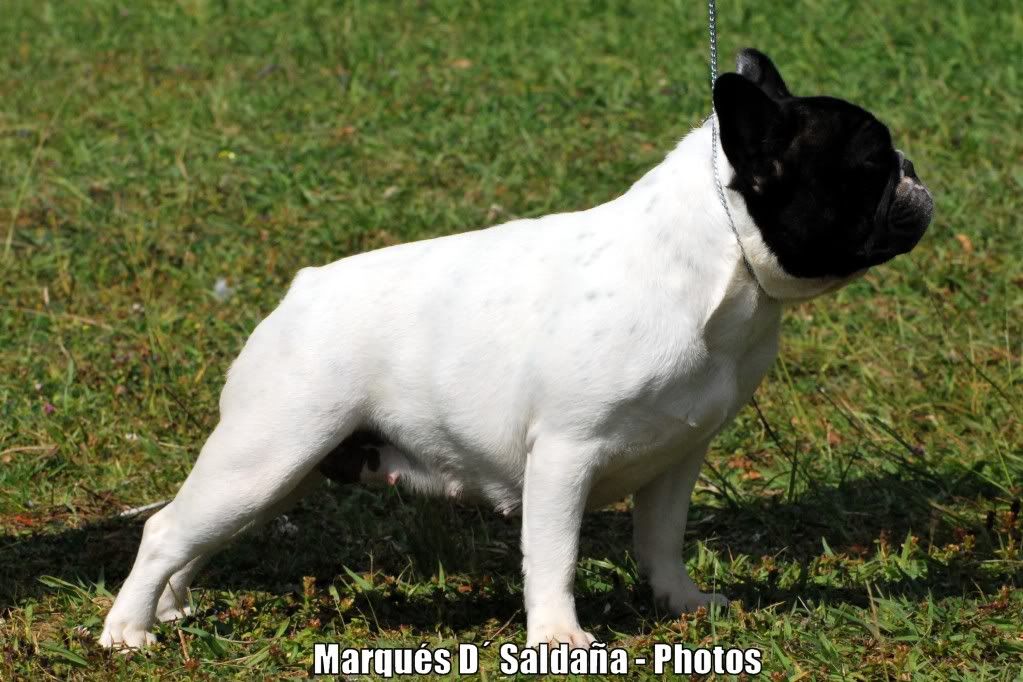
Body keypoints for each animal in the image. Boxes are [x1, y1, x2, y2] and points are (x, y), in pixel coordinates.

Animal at [101, 50, 937, 650]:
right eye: (870, 164)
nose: (914, 173)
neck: (708, 268)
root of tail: (299, 292)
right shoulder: (566, 451)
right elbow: (554, 554)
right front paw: (558, 638)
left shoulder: (677, 456)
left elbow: (662, 539)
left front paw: (683, 604)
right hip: (270, 450)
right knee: (167, 530)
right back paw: (127, 634)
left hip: (281, 468)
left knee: (195, 534)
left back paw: (171, 610)